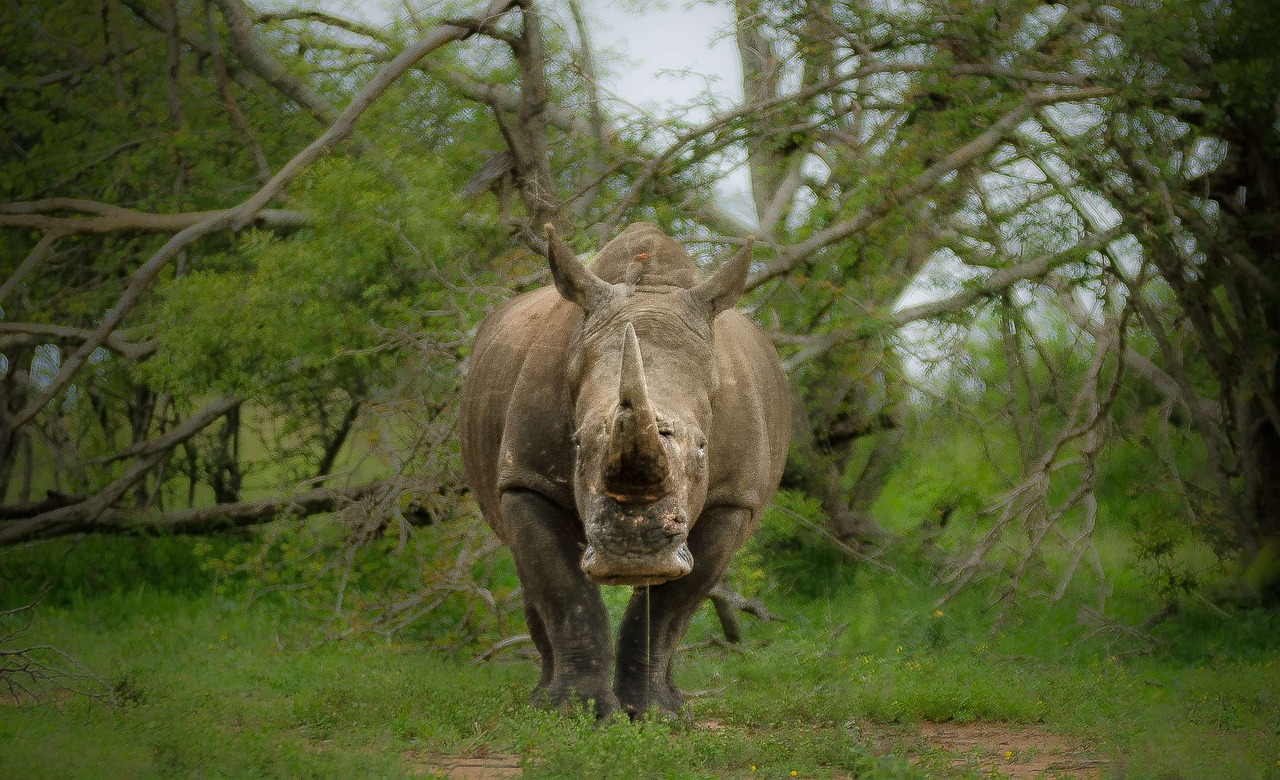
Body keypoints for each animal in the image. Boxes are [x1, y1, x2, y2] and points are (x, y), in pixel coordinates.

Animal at [459, 222, 789, 718]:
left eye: (703, 447)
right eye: (577, 444)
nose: (634, 552)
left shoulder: (735, 497)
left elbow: (672, 605)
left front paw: (658, 715)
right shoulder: (528, 481)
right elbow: (564, 590)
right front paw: (575, 712)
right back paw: (540, 697)